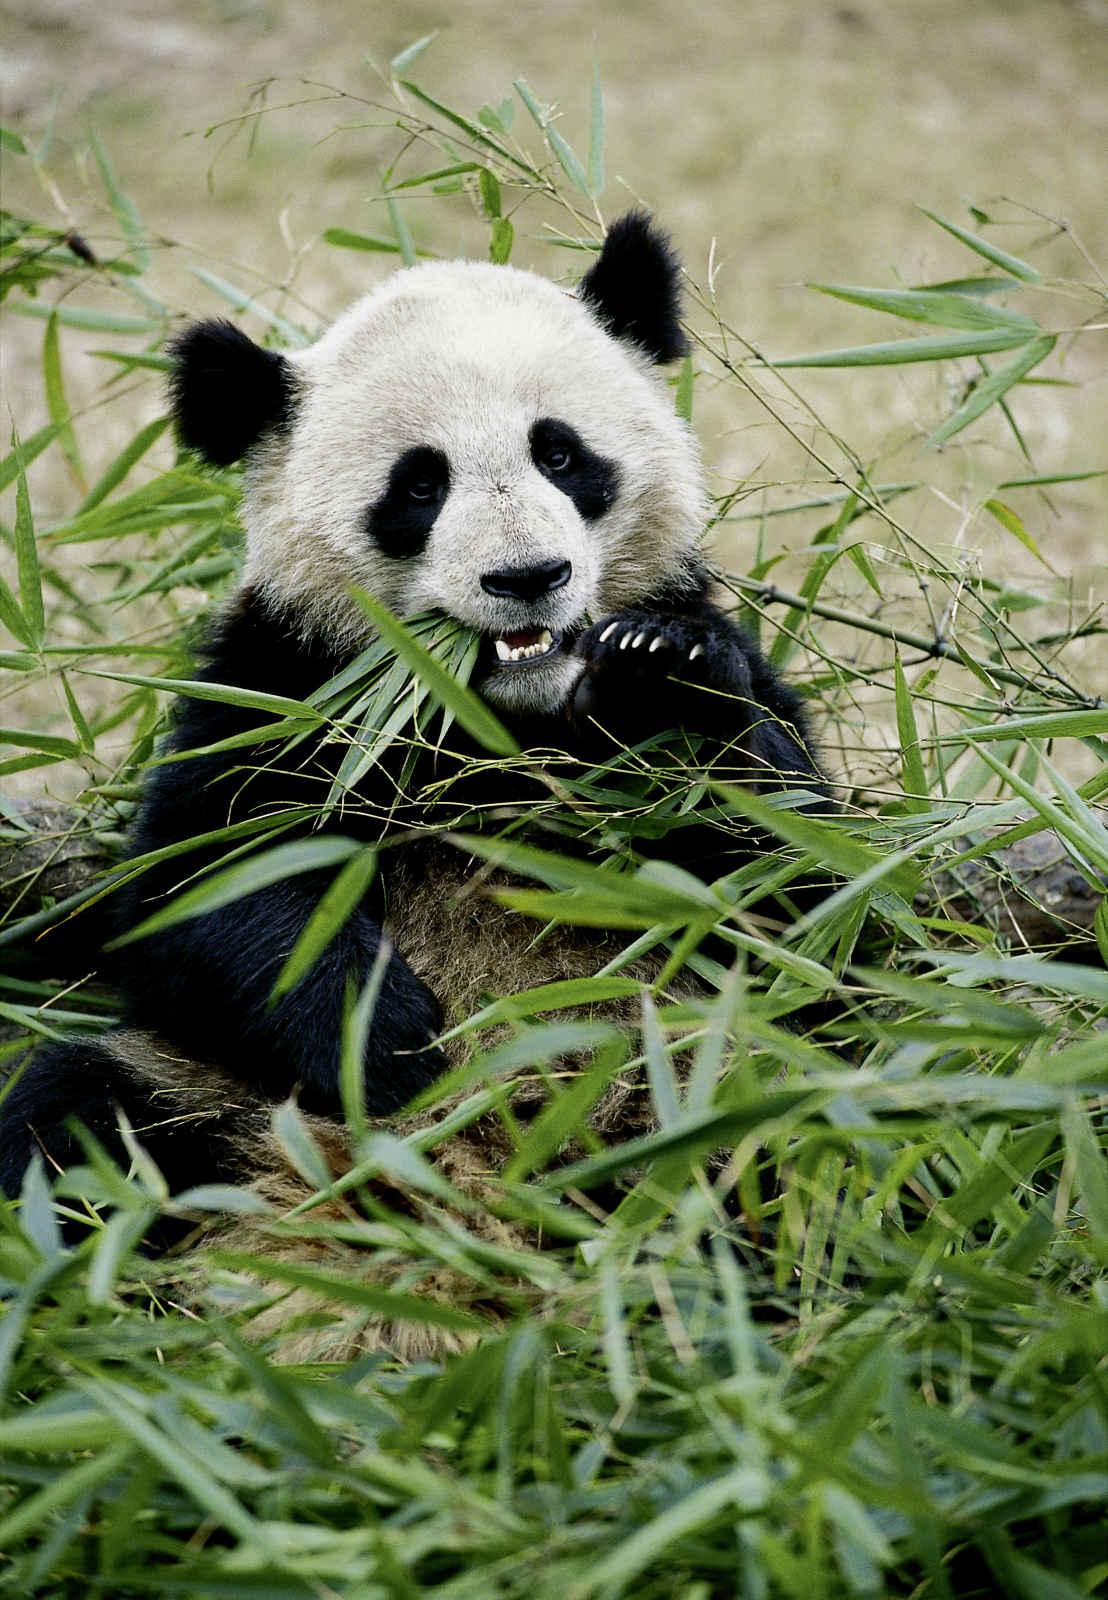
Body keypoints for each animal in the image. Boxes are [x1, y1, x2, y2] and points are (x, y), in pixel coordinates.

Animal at [1, 215, 827, 1344]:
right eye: (419, 485)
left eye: (560, 452)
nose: (526, 578)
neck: (494, 721)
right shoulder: (287, 683)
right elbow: (200, 890)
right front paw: (395, 1045)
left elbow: (805, 887)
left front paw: (667, 673)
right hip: (209, 1096)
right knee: (73, 1128)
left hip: (688, 1076)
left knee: (812, 1144)